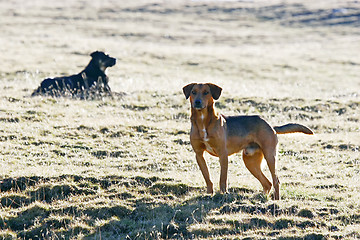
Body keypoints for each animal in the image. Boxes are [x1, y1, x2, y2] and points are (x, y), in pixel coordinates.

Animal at [183, 83, 312, 200]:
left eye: (206, 92)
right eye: (193, 92)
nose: (197, 102)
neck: (203, 121)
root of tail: (270, 126)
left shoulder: (223, 154)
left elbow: (223, 178)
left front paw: (223, 194)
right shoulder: (199, 154)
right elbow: (207, 177)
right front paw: (209, 194)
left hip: (270, 156)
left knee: (276, 180)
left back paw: (276, 200)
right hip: (250, 162)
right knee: (267, 183)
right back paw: (262, 197)